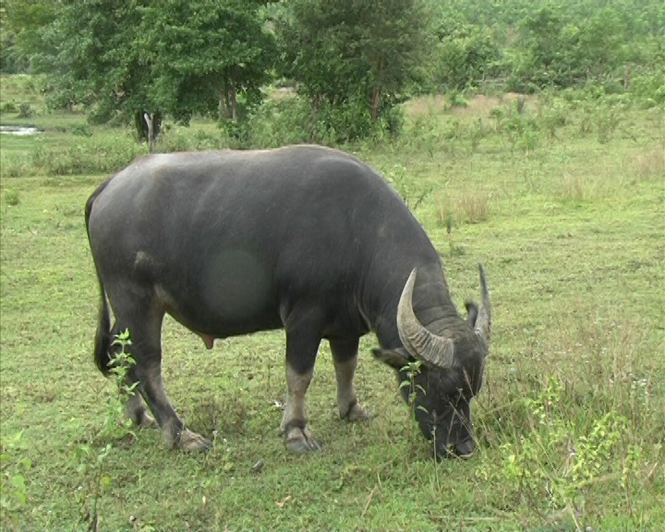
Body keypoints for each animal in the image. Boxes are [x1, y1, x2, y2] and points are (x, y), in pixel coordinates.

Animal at [85, 144, 490, 458]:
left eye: (473, 391)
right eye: (442, 389)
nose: (463, 448)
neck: (357, 233)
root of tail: (111, 185)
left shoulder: (345, 326)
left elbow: (347, 366)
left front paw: (351, 409)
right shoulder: (303, 317)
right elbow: (300, 375)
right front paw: (296, 432)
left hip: (125, 312)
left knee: (120, 355)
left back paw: (138, 416)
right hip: (136, 303)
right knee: (146, 365)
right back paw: (180, 433)